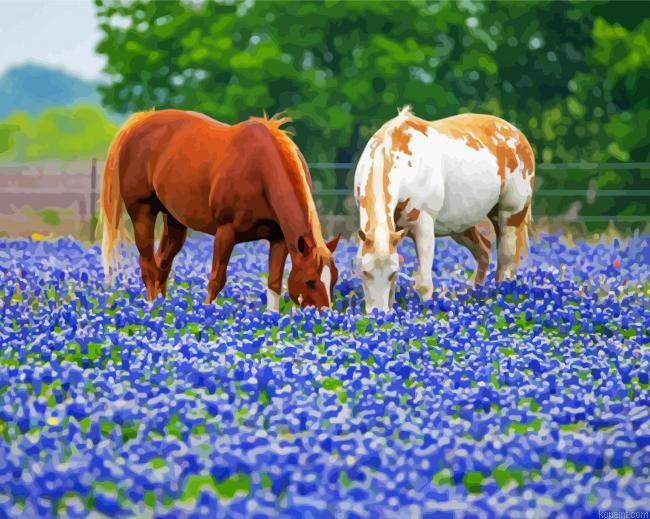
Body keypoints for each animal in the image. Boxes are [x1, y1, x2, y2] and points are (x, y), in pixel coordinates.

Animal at [100, 109, 340, 310]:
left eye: (335, 279)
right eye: (310, 281)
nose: (326, 315)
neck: (261, 170)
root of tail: (140, 121)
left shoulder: (279, 238)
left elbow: (274, 283)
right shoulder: (226, 231)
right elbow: (216, 279)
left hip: (174, 219)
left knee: (162, 264)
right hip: (143, 211)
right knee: (148, 264)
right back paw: (152, 309)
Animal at [354, 106, 535, 313]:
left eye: (392, 273)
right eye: (364, 271)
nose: (379, 314)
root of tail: (517, 134)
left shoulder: (423, 226)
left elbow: (423, 283)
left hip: (511, 213)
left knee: (505, 259)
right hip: (463, 225)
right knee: (484, 251)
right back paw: (478, 294)